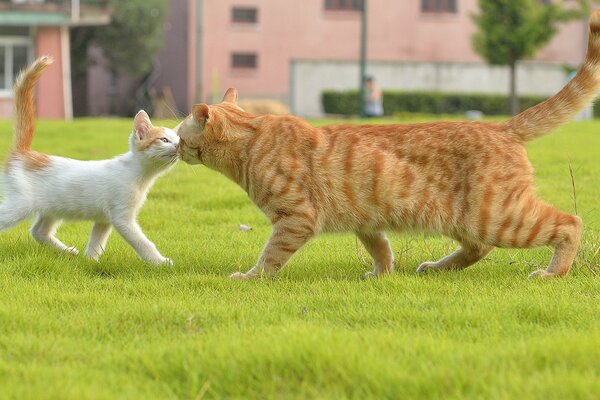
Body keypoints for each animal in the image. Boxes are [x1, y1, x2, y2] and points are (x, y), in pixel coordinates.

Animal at [1, 54, 179, 264]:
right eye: (164, 140)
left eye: (178, 140)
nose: (178, 147)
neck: (139, 175)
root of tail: (25, 152)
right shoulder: (122, 217)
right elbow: (142, 242)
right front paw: (160, 262)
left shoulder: (104, 219)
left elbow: (96, 242)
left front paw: (90, 262)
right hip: (21, 204)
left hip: (53, 206)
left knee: (38, 231)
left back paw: (67, 251)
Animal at [177, 13, 600, 282]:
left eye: (180, 134)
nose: (177, 148)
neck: (252, 138)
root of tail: (501, 127)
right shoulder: (366, 220)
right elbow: (381, 249)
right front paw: (382, 275)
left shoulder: (296, 218)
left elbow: (269, 257)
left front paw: (249, 277)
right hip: (466, 220)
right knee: (478, 249)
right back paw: (437, 268)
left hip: (500, 216)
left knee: (570, 223)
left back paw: (552, 273)